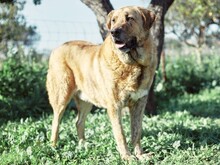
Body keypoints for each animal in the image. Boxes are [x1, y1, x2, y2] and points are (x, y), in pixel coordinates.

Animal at [46, 6, 156, 160]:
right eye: (114, 20)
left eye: (129, 18)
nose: (113, 32)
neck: (133, 64)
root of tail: (57, 48)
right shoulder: (115, 106)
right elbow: (120, 134)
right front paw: (127, 157)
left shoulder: (139, 103)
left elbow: (136, 131)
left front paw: (140, 155)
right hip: (61, 97)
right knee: (55, 122)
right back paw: (53, 147)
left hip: (86, 101)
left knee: (78, 122)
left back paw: (83, 146)